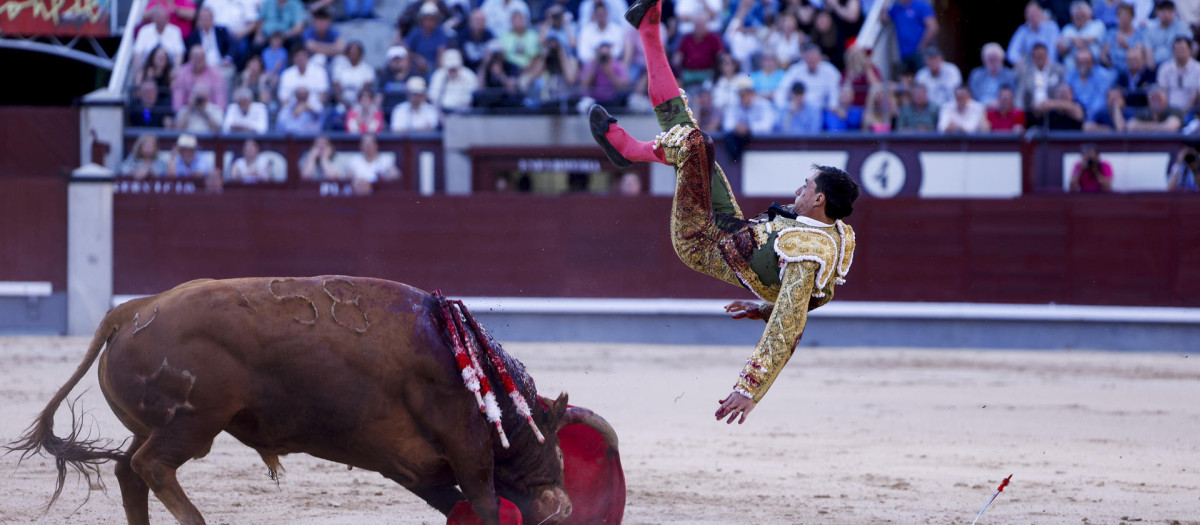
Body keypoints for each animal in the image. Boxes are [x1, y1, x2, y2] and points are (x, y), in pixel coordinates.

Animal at [4, 276, 614, 522]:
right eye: (556, 449)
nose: (564, 505)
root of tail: (130, 310)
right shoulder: (466, 446)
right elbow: (484, 502)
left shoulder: (409, 463)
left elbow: (453, 503)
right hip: (192, 426)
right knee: (151, 466)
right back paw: (198, 523)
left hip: (152, 424)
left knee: (130, 470)